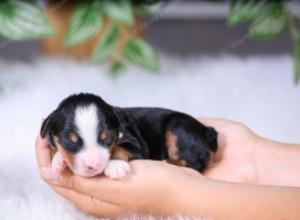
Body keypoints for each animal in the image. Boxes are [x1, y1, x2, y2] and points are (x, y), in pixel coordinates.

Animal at [40, 93, 218, 179]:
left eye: (106, 138)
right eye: (70, 141)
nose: (93, 165)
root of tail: (206, 130)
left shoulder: (136, 145)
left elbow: (120, 147)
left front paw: (115, 165)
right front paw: (59, 160)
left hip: (178, 126)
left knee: (195, 164)